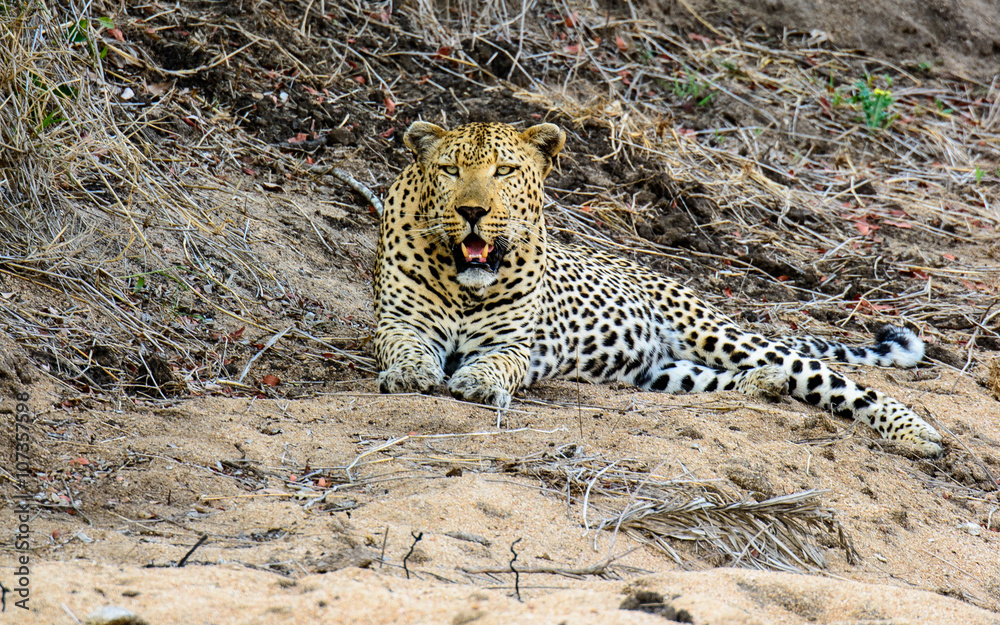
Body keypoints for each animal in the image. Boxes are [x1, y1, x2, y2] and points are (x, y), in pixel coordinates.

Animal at [373, 120, 943, 456]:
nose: (472, 211)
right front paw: (411, 375)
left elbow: (495, 362)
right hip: (662, 371)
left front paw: (474, 381)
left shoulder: (513, 343)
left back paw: (917, 434)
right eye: (450, 170)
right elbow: (404, 349)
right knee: (727, 379)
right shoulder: (398, 323)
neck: (465, 282)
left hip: (717, 334)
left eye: (505, 170)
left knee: (836, 380)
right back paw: (764, 385)